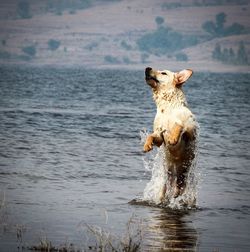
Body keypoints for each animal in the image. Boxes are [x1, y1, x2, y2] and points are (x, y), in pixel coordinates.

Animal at [143, 67, 197, 203]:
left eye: (164, 73)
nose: (147, 68)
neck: (167, 108)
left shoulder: (191, 130)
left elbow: (180, 126)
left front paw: (173, 137)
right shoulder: (159, 135)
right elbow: (152, 136)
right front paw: (147, 145)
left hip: (183, 175)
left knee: (180, 188)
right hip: (167, 180)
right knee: (167, 191)